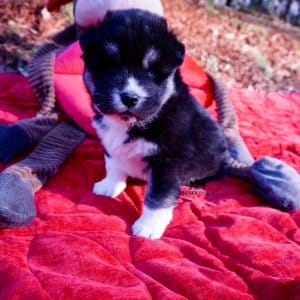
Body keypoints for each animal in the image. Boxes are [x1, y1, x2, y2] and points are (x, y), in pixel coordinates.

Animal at [81, 9, 229, 239]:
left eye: (151, 73)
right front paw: (110, 186)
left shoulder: (167, 160)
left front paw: (148, 228)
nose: (130, 97)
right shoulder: (110, 143)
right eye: (110, 67)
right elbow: (113, 165)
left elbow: (158, 196)